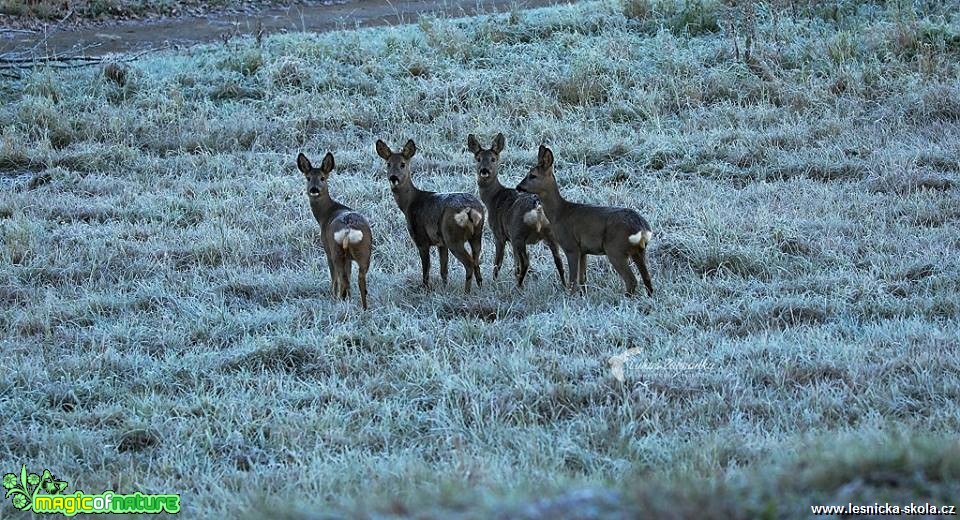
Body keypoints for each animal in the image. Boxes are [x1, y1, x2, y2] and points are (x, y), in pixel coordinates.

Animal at [298, 152, 374, 310]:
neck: (325, 214)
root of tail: (348, 229)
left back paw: (338, 300)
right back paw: (364, 308)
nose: (314, 189)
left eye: (323, 178)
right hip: (364, 250)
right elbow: (349, 274)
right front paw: (348, 298)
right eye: (308, 178)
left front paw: (333, 296)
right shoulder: (349, 258)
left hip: (336, 250)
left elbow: (334, 277)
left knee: (342, 279)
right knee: (360, 280)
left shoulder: (327, 249)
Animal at [376, 138, 488, 292]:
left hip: (453, 237)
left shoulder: (421, 239)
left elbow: (426, 268)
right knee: (476, 260)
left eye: (402, 164)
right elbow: (443, 270)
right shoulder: (441, 243)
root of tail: (470, 210)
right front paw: (445, 288)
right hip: (476, 235)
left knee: (469, 263)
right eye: (388, 164)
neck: (409, 203)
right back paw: (480, 287)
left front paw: (425, 288)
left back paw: (466, 293)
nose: (393, 178)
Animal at [466, 133, 568, 288]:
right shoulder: (512, 239)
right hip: (549, 233)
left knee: (525, 262)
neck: (493, 198)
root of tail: (537, 208)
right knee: (559, 261)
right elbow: (515, 265)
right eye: (478, 159)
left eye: (493, 159)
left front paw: (494, 282)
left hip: (519, 233)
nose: (484, 170)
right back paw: (564, 286)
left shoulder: (500, 234)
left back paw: (518, 287)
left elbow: (498, 263)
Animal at [516, 145, 652, 296]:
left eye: (532, 175)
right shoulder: (583, 250)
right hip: (638, 251)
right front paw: (582, 295)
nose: (518, 187)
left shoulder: (571, 246)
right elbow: (582, 279)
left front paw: (570, 296)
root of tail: (642, 227)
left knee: (632, 280)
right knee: (647, 279)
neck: (559, 214)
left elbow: (573, 279)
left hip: (615, 249)